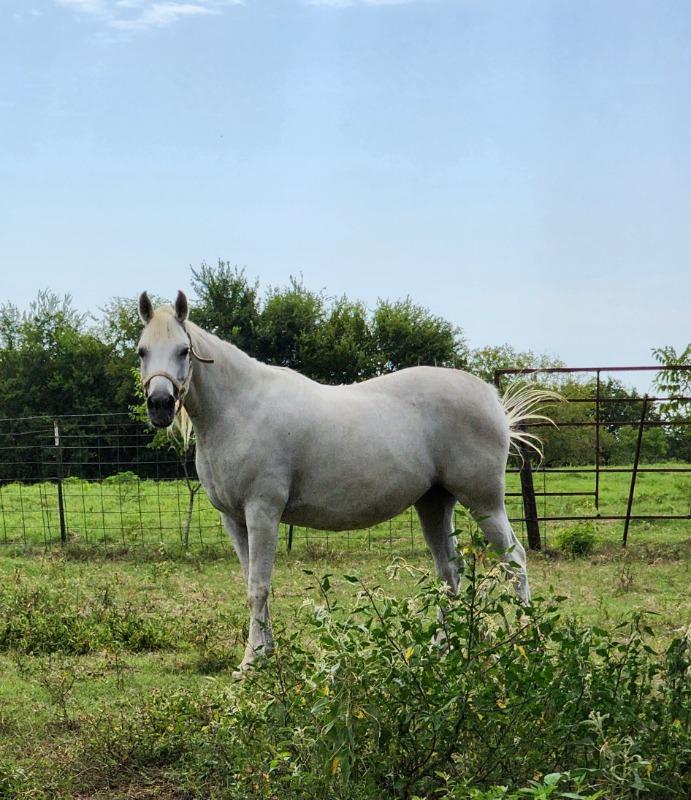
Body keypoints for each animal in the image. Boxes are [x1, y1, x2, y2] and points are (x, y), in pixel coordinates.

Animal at [137, 290, 554, 676]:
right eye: (142, 351)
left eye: (183, 351)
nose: (160, 404)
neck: (239, 409)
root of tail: (491, 400)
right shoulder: (234, 519)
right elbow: (252, 585)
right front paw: (266, 653)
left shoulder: (262, 512)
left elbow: (259, 586)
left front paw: (251, 660)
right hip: (434, 503)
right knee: (449, 573)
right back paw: (438, 649)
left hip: (484, 502)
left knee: (514, 560)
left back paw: (529, 641)